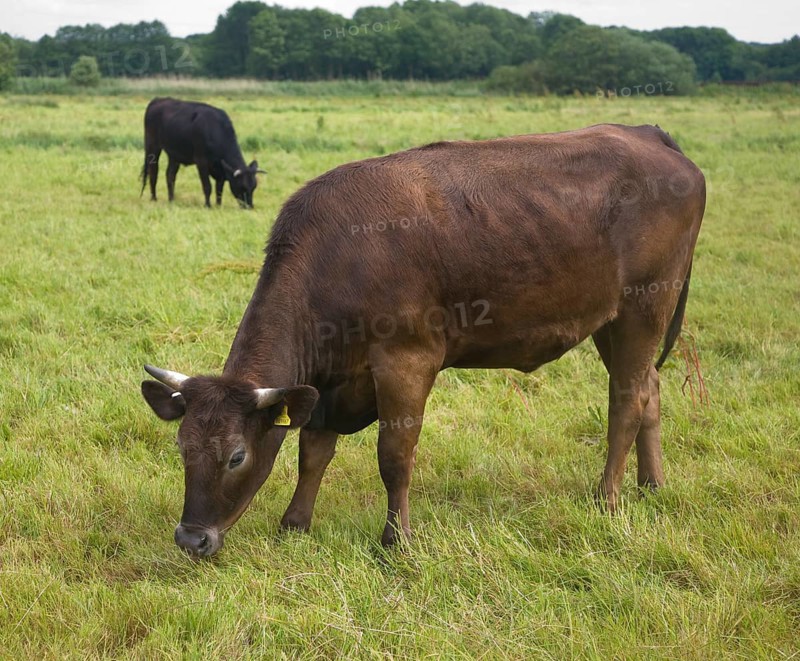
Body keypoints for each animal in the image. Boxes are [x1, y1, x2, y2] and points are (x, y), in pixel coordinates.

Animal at [141, 124, 706, 557]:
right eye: (181, 445)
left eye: (236, 456)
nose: (191, 539)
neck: (339, 256)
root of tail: (647, 133)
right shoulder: (329, 383)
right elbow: (312, 450)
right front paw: (294, 524)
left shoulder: (406, 361)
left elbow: (394, 456)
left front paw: (397, 540)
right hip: (612, 321)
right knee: (649, 388)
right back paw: (651, 485)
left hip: (643, 307)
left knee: (626, 402)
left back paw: (607, 498)